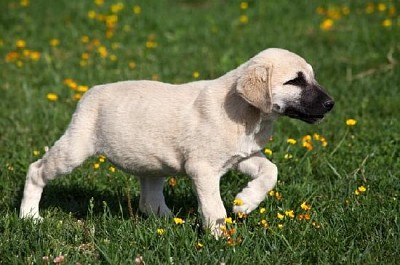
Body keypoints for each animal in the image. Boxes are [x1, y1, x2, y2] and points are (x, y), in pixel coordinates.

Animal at [21, 48, 334, 234]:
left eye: (311, 77)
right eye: (295, 81)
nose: (331, 104)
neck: (247, 113)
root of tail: (90, 92)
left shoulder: (242, 156)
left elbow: (271, 172)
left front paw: (245, 203)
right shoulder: (203, 169)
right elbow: (214, 208)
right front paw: (221, 238)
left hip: (150, 163)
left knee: (149, 201)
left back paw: (168, 220)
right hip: (75, 147)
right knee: (37, 170)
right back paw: (29, 216)